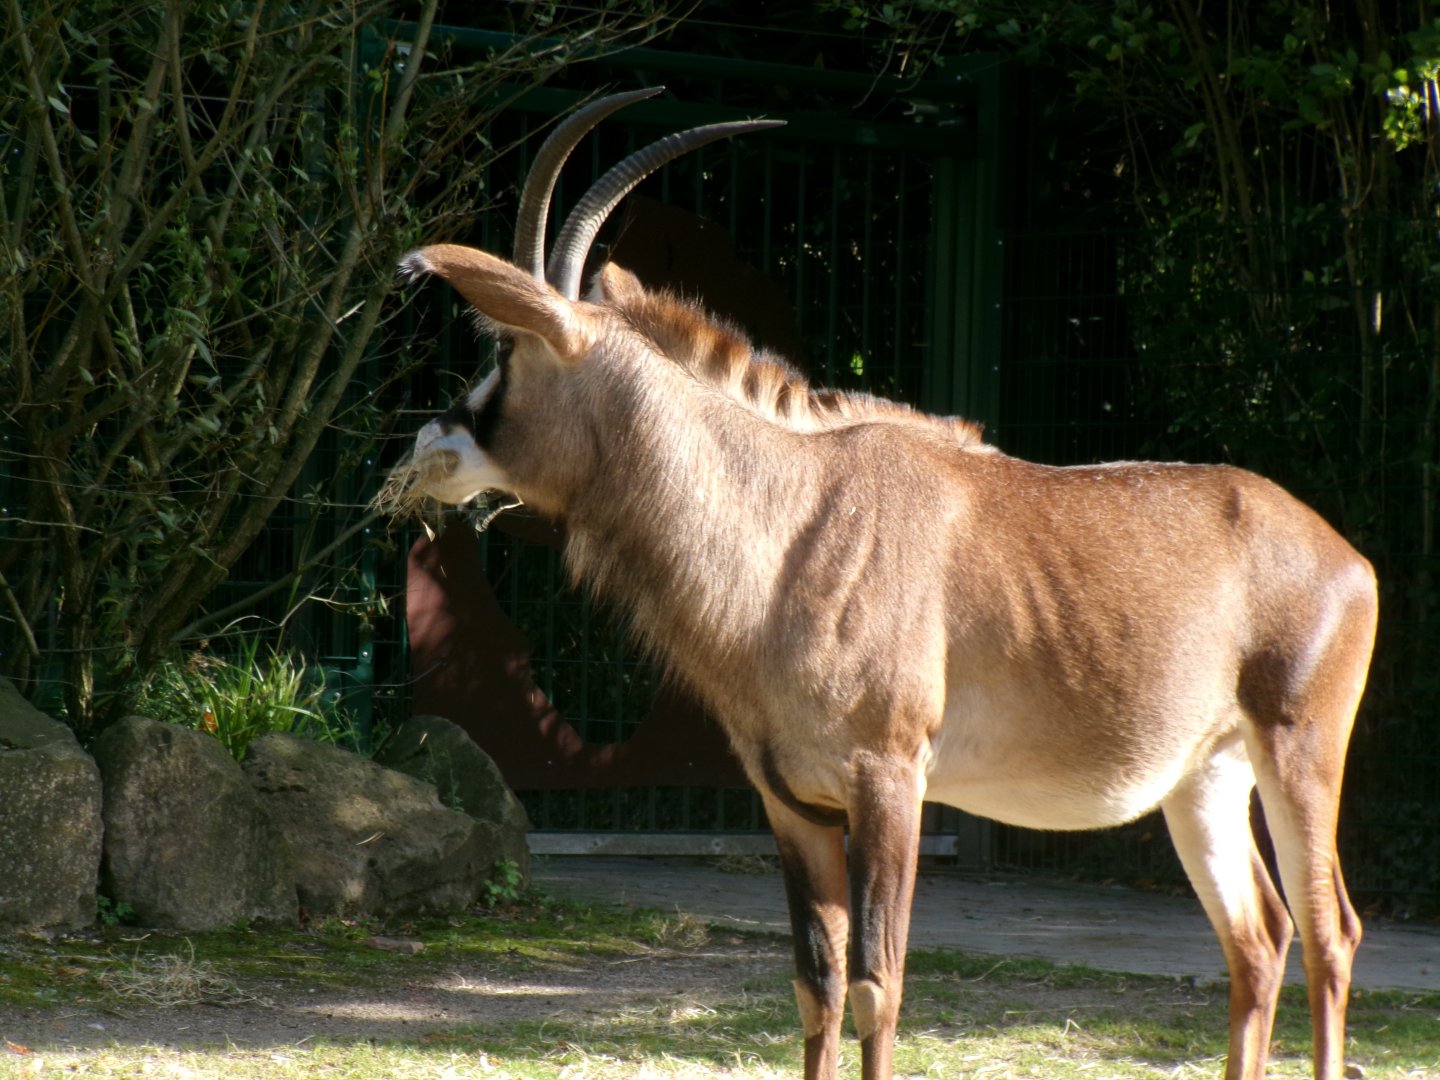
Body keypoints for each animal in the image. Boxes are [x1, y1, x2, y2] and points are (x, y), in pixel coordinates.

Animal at [386, 89, 1377, 1080]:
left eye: (506, 354)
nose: (425, 447)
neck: (787, 523)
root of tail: (1347, 558)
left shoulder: (891, 783)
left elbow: (877, 986)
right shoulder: (792, 804)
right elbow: (816, 986)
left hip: (1298, 752)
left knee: (1330, 932)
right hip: (1205, 778)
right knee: (1259, 940)